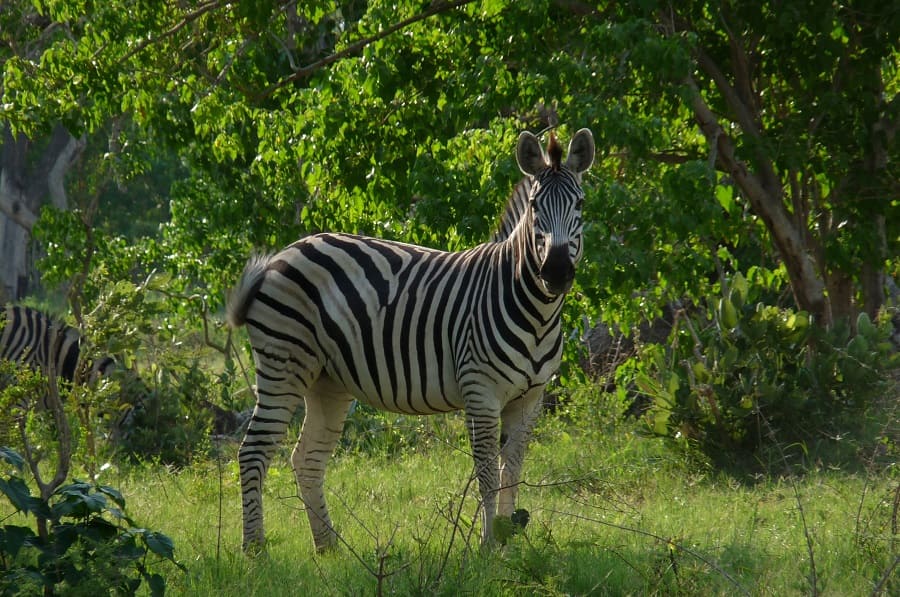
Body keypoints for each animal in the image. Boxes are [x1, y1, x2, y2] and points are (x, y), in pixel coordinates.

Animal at [229, 128, 596, 552]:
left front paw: (507, 542)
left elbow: (512, 473)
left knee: (307, 458)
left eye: (580, 204)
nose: (556, 272)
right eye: (535, 206)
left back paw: (329, 549)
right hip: (284, 364)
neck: (535, 311)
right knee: (253, 452)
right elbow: (488, 474)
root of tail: (282, 254)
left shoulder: (530, 400)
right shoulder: (481, 392)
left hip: (327, 381)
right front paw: (488, 545)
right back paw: (255, 549)